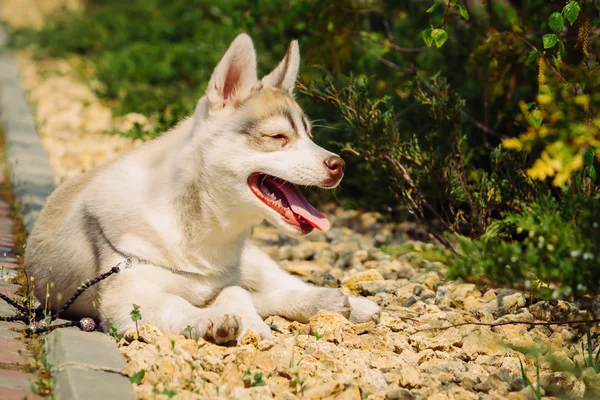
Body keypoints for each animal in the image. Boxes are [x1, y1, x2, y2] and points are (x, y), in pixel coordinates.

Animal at [25, 33, 380, 344]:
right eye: (278, 137)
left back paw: (348, 303)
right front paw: (213, 320)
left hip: (254, 261)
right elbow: (185, 304)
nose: (339, 164)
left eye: (309, 136)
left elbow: (237, 292)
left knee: (278, 284)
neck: (197, 228)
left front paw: (244, 320)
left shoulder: (224, 279)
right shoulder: (128, 295)